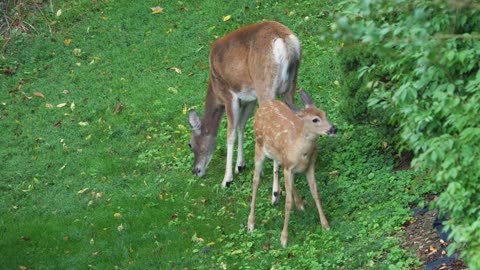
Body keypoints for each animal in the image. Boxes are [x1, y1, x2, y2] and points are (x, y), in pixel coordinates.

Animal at [188, 21, 300, 187]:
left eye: (190, 144)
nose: (195, 171)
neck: (215, 88)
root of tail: (285, 41)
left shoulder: (230, 96)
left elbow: (230, 134)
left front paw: (227, 179)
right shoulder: (249, 98)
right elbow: (241, 125)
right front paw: (240, 165)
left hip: (266, 88)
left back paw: (275, 190)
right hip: (291, 86)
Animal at [248, 89, 338, 248]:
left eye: (324, 113)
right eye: (315, 119)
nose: (333, 128)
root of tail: (263, 105)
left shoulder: (309, 166)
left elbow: (315, 193)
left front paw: (325, 224)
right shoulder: (289, 167)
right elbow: (288, 203)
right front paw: (284, 239)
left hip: (279, 157)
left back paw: (298, 203)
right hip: (258, 147)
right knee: (256, 181)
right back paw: (251, 223)